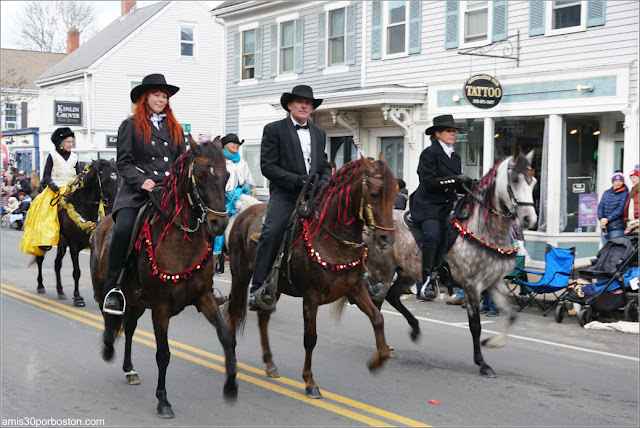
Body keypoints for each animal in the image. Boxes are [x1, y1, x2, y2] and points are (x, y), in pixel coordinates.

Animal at [33, 159, 120, 306]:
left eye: (119, 178)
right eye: (105, 179)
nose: (115, 204)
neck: (83, 207)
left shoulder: (92, 246)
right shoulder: (74, 247)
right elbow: (76, 272)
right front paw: (78, 297)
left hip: (62, 244)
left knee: (57, 264)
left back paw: (60, 291)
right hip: (44, 242)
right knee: (40, 259)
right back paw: (40, 286)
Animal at [89, 137, 238, 418]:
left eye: (226, 177)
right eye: (201, 175)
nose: (219, 225)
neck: (181, 241)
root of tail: (102, 223)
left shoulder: (203, 297)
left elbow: (226, 336)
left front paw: (231, 385)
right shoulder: (160, 307)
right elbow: (163, 354)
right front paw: (163, 400)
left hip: (136, 302)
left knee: (130, 327)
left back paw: (129, 369)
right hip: (105, 289)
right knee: (109, 318)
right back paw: (107, 348)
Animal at [222, 155, 398, 400]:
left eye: (395, 193)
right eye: (373, 194)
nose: (386, 239)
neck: (333, 240)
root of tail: (243, 214)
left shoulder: (355, 289)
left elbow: (377, 318)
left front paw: (377, 361)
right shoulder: (311, 298)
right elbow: (310, 338)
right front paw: (310, 382)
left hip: (273, 288)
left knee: (263, 317)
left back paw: (270, 363)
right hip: (240, 275)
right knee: (234, 310)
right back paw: (234, 359)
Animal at [360, 151, 536, 378]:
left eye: (533, 181)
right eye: (514, 180)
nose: (529, 219)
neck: (483, 232)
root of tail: (371, 224)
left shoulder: (494, 284)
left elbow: (512, 316)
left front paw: (492, 342)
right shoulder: (472, 286)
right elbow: (475, 325)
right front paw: (482, 363)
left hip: (407, 273)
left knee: (391, 296)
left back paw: (413, 329)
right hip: (383, 272)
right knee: (375, 301)